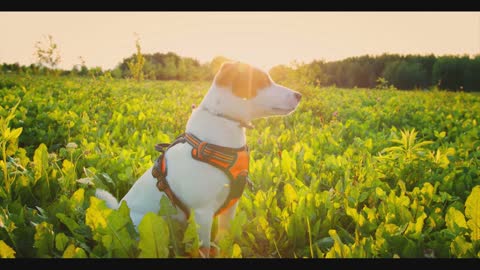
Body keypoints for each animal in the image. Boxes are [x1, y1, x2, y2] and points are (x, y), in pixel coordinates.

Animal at [95, 61, 302, 258]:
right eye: (263, 81)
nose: (299, 95)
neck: (224, 124)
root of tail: (117, 210)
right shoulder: (203, 213)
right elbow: (204, 249)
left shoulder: (230, 209)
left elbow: (223, 241)